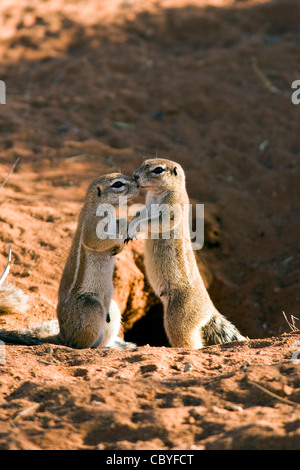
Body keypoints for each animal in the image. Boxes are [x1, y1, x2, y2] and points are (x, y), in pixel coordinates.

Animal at [0, 173, 139, 348]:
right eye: (118, 184)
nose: (137, 183)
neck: (100, 206)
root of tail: (62, 335)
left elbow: (120, 222)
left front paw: (128, 228)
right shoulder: (93, 224)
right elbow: (95, 240)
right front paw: (119, 244)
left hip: (112, 309)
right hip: (92, 307)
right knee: (78, 344)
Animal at [132, 158, 246, 348]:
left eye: (158, 170)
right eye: (143, 163)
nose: (134, 175)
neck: (157, 194)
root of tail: (209, 310)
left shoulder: (172, 210)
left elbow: (156, 222)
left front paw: (134, 226)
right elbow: (141, 213)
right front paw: (132, 218)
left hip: (178, 318)